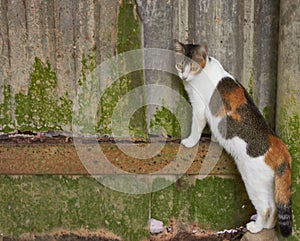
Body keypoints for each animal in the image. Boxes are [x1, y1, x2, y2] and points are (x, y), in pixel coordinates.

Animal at [173, 39, 292, 237]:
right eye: (180, 65)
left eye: (193, 67)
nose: (184, 76)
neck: (204, 70)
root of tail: (280, 146)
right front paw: (215, 138)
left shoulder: (199, 108)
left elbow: (196, 128)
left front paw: (189, 142)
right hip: (267, 184)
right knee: (275, 206)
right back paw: (267, 227)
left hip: (253, 182)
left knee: (266, 208)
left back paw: (255, 227)